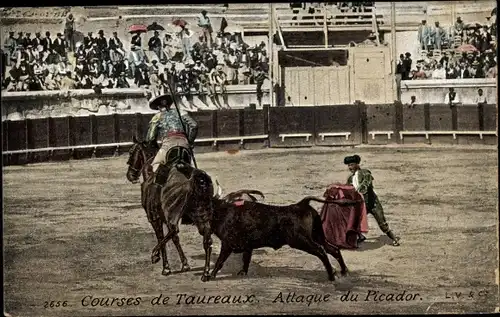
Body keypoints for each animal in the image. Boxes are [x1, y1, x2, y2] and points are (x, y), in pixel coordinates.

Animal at [124, 135, 215, 280]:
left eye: (131, 151)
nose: (130, 175)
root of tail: (194, 177)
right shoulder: (164, 217)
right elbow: (175, 238)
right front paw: (185, 264)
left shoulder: (155, 218)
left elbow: (161, 236)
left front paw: (166, 267)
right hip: (201, 214)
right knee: (207, 239)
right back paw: (205, 273)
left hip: (173, 212)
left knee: (174, 229)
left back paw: (154, 254)